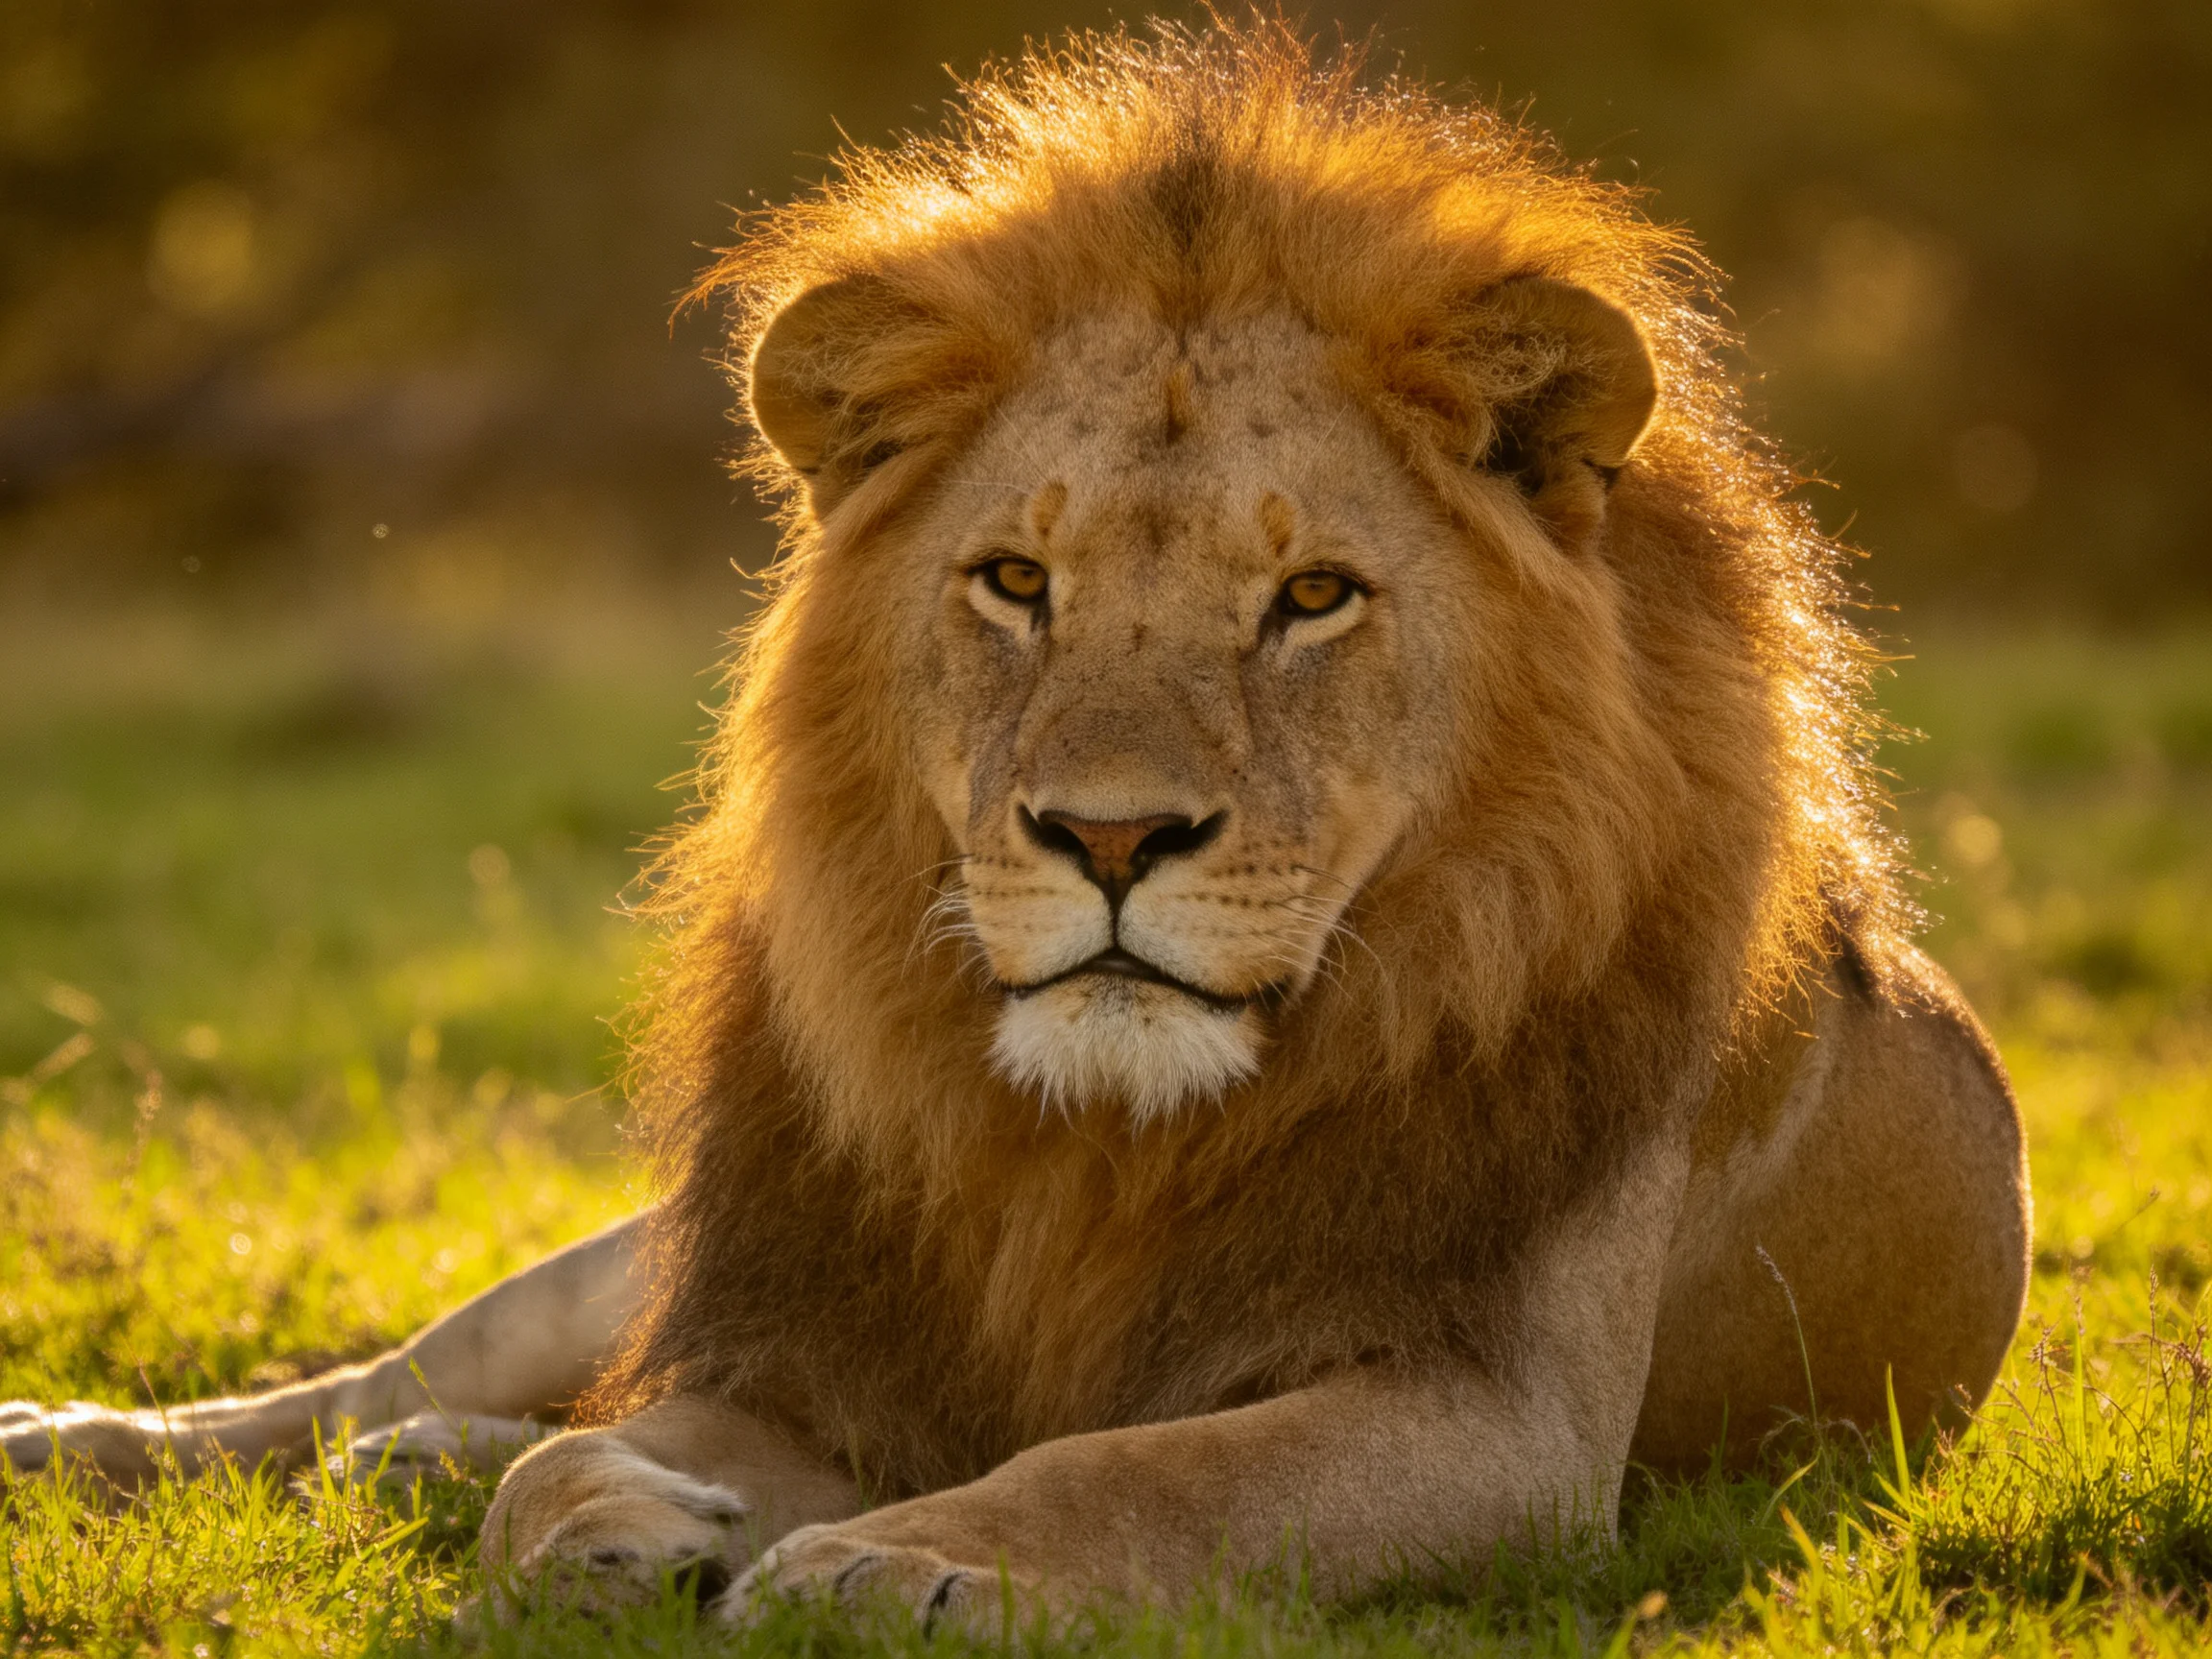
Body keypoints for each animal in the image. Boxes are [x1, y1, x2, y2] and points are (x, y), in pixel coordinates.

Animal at [2, 19, 2029, 1627]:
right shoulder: (821, 1331)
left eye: (1309, 597)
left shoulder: (1498, 1416)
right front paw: (619, 1524)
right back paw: (122, 1434)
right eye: (1013, 580)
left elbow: (1149, 1467)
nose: (1108, 840)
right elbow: (561, 1468)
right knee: (396, 1377)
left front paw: (895, 1561)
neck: (1098, 1140)